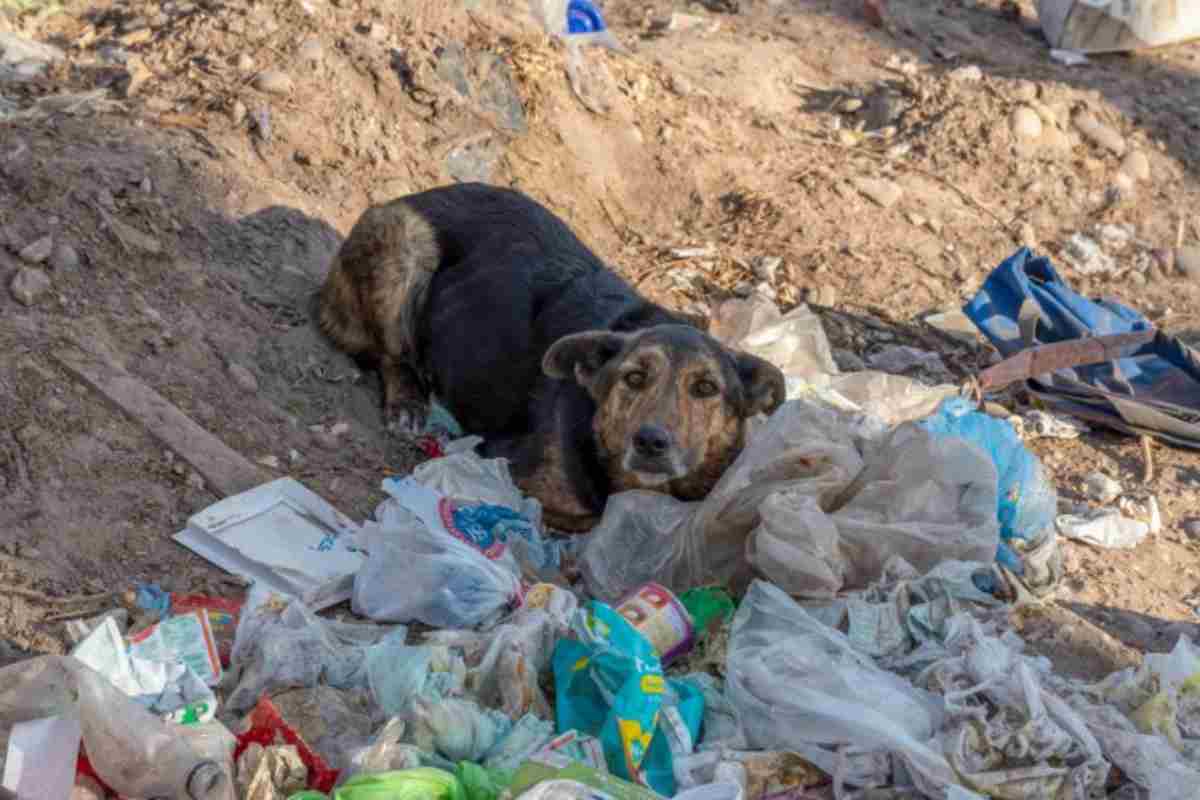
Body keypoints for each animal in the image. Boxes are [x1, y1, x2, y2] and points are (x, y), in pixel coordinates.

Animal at [319, 182, 787, 532]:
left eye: (706, 388)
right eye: (634, 378)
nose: (652, 442)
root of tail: (417, 193)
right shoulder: (517, 471)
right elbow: (591, 516)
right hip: (401, 238)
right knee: (391, 352)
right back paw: (409, 402)